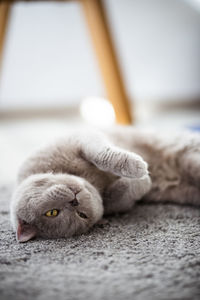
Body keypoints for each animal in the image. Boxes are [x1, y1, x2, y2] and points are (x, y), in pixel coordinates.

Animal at [9, 125, 200, 243]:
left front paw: (137, 166)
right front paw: (143, 178)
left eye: (51, 213)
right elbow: (122, 195)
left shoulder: (83, 138)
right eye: (82, 215)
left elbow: (103, 155)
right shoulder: (116, 204)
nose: (74, 201)